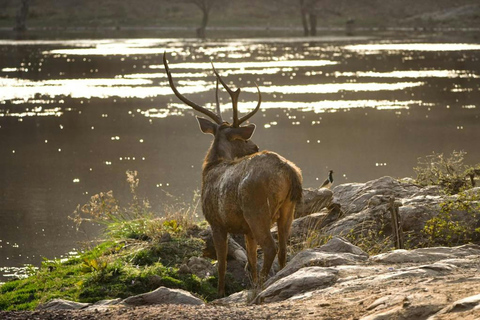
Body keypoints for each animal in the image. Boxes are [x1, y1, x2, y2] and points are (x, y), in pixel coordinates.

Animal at [163, 53, 302, 296]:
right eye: (241, 139)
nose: (254, 146)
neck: (210, 167)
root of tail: (288, 170)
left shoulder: (216, 222)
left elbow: (222, 263)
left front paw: (219, 293)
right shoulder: (245, 229)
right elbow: (250, 259)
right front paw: (250, 282)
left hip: (257, 209)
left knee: (271, 246)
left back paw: (262, 284)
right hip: (288, 208)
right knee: (284, 248)